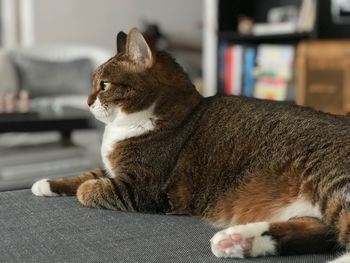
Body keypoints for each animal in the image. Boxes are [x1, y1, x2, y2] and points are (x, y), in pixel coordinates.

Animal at [31, 27, 350, 262]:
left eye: (104, 85)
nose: (86, 102)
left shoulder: (141, 187)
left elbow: (88, 189)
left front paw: (79, 189)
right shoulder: (113, 170)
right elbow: (87, 174)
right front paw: (46, 184)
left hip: (332, 180)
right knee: (319, 232)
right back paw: (235, 241)